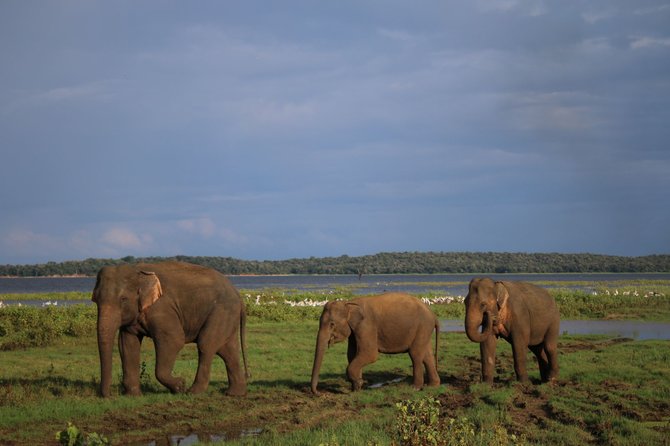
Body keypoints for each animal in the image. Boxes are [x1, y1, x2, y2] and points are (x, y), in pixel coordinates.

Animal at [89, 262, 247, 398]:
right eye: (95, 300)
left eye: (123, 299)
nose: (109, 396)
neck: (137, 270)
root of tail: (238, 294)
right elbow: (127, 344)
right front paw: (133, 396)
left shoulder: (162, 309)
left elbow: (174, 340)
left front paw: (180, 386)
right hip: (227, 316)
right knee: (227, 350)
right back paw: (234, 393)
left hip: (222, 311)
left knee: (206, 345)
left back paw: (193, 392)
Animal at [310, 292, 440, 394]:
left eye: (332, 324)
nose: (319, 393)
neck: (349, 303)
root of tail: (433, 315)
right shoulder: (354, 330)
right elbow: (352, 354)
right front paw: (356, 388)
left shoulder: (366, 325)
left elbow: (369, 354)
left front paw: (358, 383)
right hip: (424, 330)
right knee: (427, 355)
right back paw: (432, 386)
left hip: (422, 327)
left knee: (415, 354)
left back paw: (415, 388)